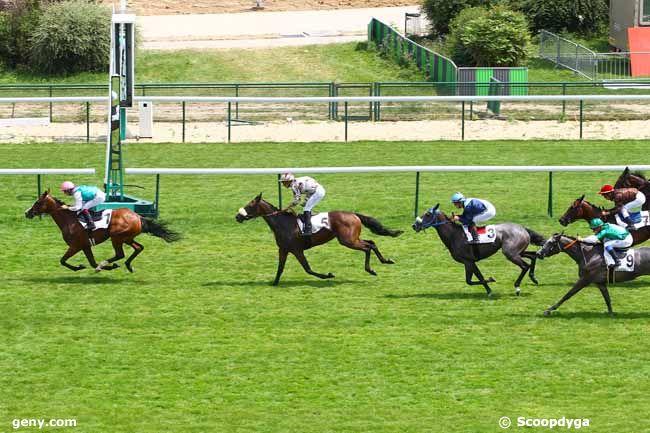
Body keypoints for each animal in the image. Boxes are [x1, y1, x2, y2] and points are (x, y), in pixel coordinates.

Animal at [24, 191, 180, 272]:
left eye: (37, 202)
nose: (27, 213)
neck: (70, 220)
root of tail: (138, 217)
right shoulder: (85, 245)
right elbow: (91, 262)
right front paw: (85, 266)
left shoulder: (76, 245)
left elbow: (63, 260)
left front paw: (80, 267)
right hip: (127, 238)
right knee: (138, 248)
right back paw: (128, 266)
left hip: (116, 238)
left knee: (120, 254)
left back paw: (106, 263)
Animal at [233, 192, 400, 284]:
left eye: (249, 206)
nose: (237, 217)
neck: (283, 223)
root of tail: (354, 214)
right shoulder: (284, 249)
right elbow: (280, 268)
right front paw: (274, 283)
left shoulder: (296, 250)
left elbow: (308, 269)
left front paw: (328, 275)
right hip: (352, 239)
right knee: (371, 242)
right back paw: (385, 261)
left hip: (348, 241)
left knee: (367, 247)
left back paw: (371, 269)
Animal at [412, 204, 544, 296]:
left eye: (427, 215)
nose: (414, 225)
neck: (454, 235)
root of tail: (523, 229)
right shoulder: (471, 261)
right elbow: (479, 277)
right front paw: (489, 291)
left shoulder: (467, 261)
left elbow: (469, 281)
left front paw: (491, 279)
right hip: (518, 251)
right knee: (533, 255)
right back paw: (533, 278)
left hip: (510, 253)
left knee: (525, 266)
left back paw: (517, 287)